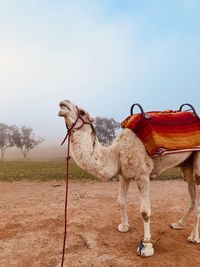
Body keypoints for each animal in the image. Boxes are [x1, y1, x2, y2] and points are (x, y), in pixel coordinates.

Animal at [57, 100, 200, 258]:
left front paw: (146, 246)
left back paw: (194, 237)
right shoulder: (124, 175)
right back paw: (178, 224)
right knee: (191, 192)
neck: (117, 152)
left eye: (82, 112)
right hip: (186, 164)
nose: (63, 103)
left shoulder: (142, 174)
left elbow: (145, 212)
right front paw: (124, 227)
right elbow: (121, 201)